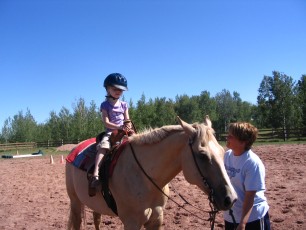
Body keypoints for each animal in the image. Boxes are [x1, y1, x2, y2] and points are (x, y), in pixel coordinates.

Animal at [65, 117, 237, 230]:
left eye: (222, 151)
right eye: (202, 155)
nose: (231, 199)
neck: (145, 178)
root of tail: (75, 149)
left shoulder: (156, 220)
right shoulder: (131, 223)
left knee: (96, 219)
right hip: (75, 201)